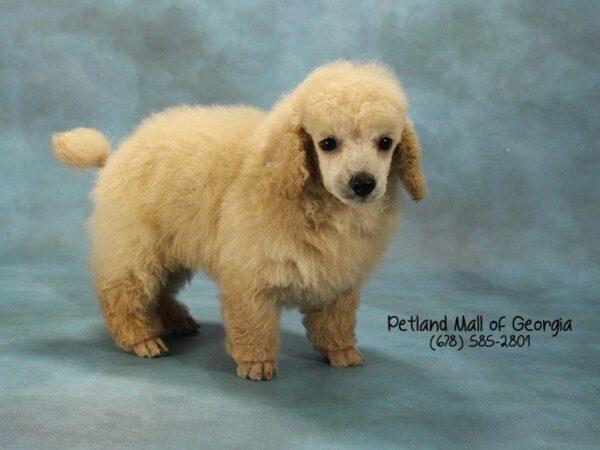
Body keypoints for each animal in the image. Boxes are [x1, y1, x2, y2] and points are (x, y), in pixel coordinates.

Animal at [52, 60, 426, 380]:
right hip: (136, 245)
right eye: (328, 143)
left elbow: (336, 320)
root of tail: (115, 156)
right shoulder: (250, 275)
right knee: (122, 293)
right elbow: (254, 323)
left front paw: (341, 352)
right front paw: (256, 363)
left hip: (172, 249)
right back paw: (140, 338)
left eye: (386, 143)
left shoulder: (339, 277)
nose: (363, 183)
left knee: (159, 292)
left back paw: (176, 321)